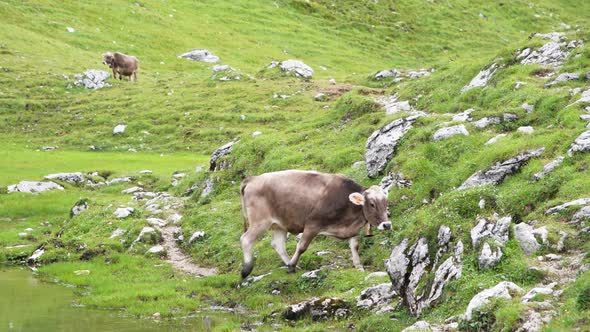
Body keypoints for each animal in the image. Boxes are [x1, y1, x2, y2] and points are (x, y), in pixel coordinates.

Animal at [240, 170, 394, 278]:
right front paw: (292, 266)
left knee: (277, 244)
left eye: (386, 202)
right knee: (246, 239)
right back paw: (246, 270)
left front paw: (359, 266)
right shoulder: (312, 224)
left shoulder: (352, 229)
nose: (387, 225)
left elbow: (355, 246)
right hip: (260, 221)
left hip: (279, 224)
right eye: (372, 204)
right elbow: (302, 247)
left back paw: (290, 263)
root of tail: (253, 179)